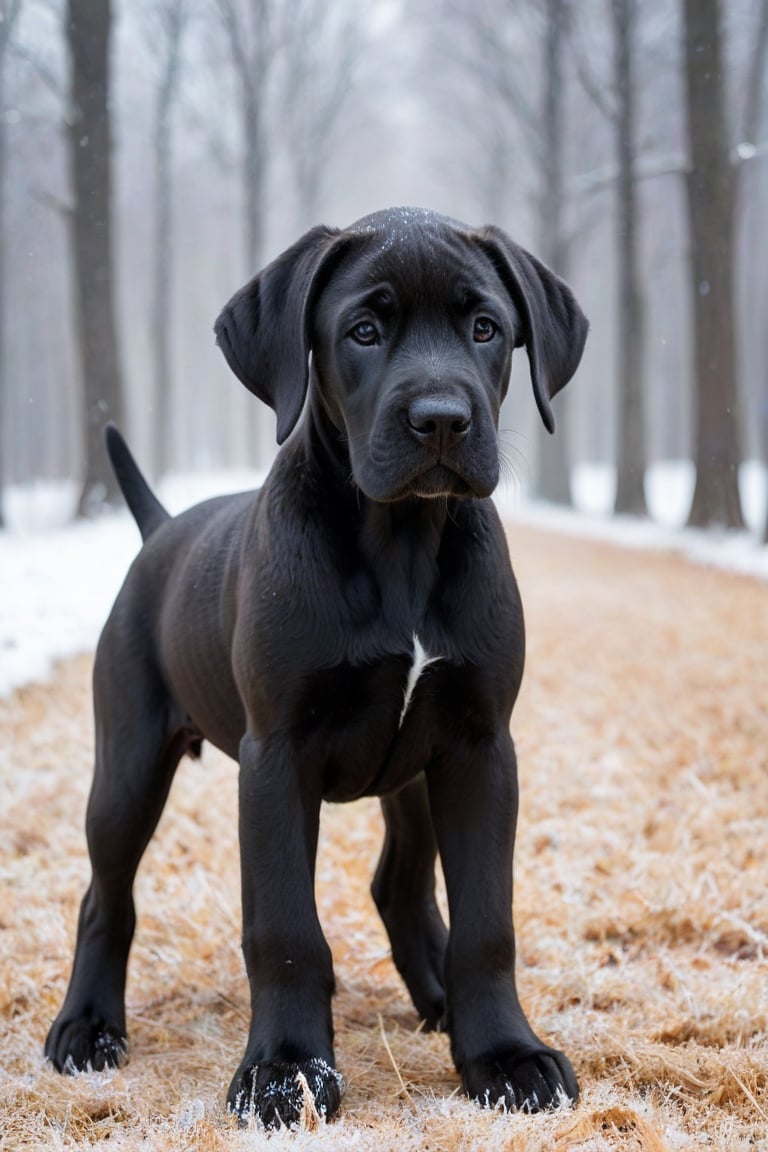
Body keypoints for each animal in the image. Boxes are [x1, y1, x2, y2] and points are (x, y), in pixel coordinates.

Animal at [46, 207, 589, 1124]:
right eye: (363, 331)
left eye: (486, 328)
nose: (441, 420)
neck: (401, 542)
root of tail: (161, 532)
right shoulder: (277, 756)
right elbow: (286, 930)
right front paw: (285, 1069)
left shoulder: (480, 746)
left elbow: (488, 923)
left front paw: (504, 1056)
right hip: (128, 764)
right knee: (103, 895)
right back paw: (87, 1027)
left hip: (415, 772)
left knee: (398, 885)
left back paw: (438, 997)